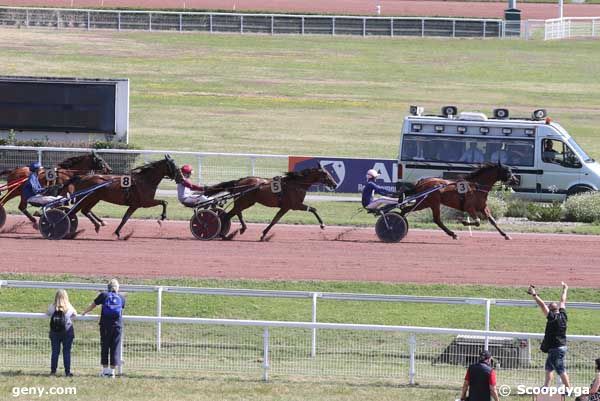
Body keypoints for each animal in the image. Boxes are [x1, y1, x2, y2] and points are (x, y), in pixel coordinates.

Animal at [205, 166, 338, 239]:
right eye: (326, 173)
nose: (335, 184)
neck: (296, 184)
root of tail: (239, 181)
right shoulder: (294, 205)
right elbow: (313, 209)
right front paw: (322, 225)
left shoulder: (286, 207)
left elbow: (275, 220)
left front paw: (264, 234)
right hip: (245, 201)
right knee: (228, 215)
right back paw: (222, 233)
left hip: (246, 201)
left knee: (235, 213)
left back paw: (239, 229)